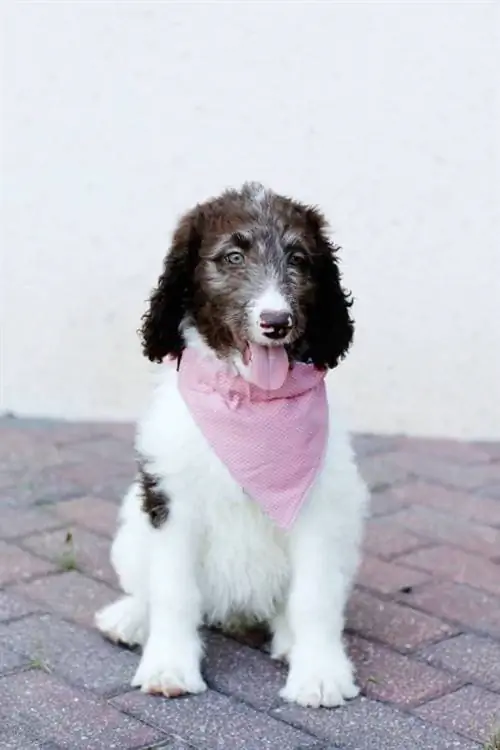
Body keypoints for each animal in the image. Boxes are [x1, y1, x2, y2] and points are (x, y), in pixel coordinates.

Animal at [95, 182, 370, 712]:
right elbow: (173, 591)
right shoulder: (170, 499)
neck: (249, 403)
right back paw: (130, 619)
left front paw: (320, 673)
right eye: (233, 257)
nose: (276, 322)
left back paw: (289, 640)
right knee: (145, 587)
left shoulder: (321, 506)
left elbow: (314, 598)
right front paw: (169, 666)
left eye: (299, 259)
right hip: (133, 524)